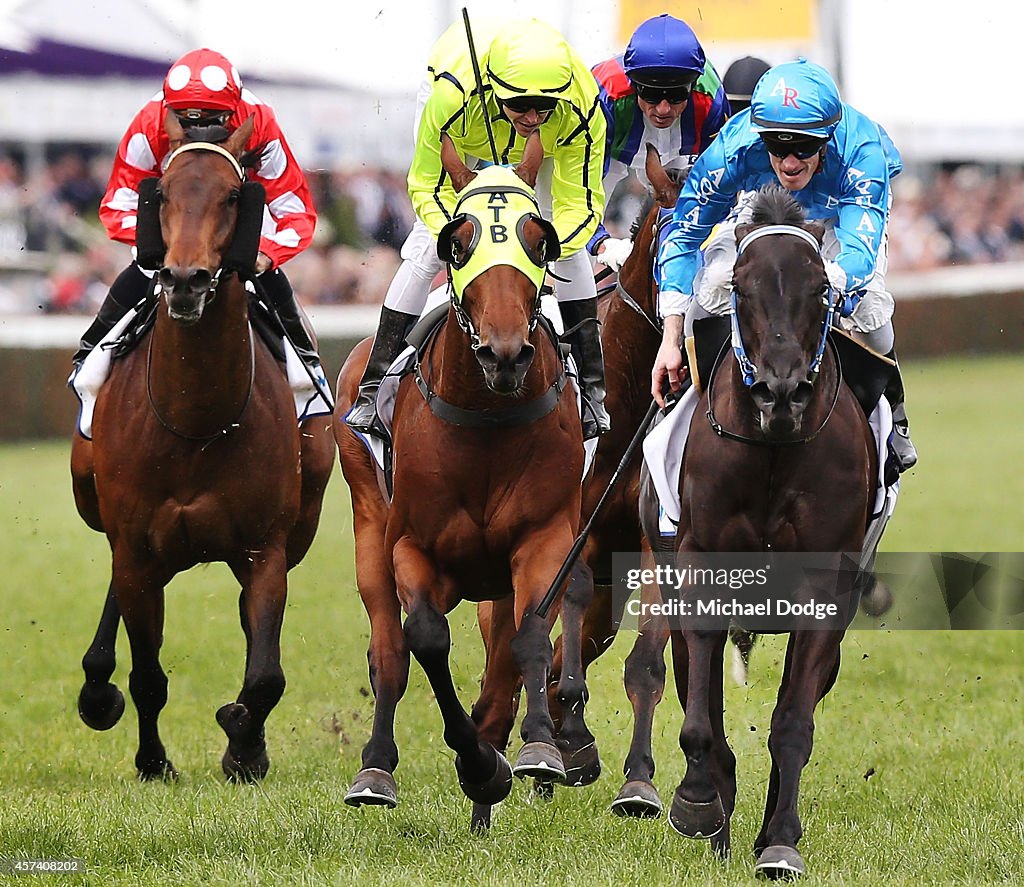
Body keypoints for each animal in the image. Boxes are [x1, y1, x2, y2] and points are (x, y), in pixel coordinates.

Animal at [72, 110, 335, 782]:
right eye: (161, 194)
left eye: (234, 196)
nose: (186, 279)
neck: (195, 419)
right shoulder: (137, 546)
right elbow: (147, 677)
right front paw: (153, 760)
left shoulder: (266, 549)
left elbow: (264, 677)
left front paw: (243, 741)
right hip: (99, 506)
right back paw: (97, 688)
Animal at [335, 135, 593, 827]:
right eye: (460, 240)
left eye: (539, 240)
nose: (504, 354)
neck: (487, 422)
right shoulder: (410, 545)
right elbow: (424, 639)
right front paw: (477, 765)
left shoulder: (545, 536)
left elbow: (530, 633)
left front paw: (533, 752)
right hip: (367, 528)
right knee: (388, 651)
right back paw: (376, 769)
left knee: (503, 652)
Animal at [667, 186, 876, 876]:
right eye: (740, 283)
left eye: (821, 289)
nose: (780, 393)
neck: (773, 452)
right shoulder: (699, 563)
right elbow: (701, 720)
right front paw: (699, 802)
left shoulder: (824, 588)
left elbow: (792, 723)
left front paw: (780, 841)